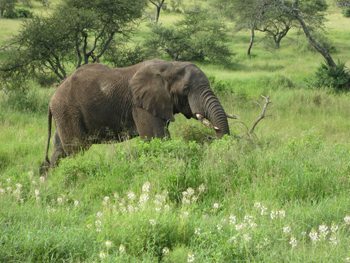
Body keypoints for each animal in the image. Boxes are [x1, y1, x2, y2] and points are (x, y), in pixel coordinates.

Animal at [40, 59, 230, 175]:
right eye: (185, 89)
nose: (211, 137)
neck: (170, 65)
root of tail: (52, 98)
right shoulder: (140, 104)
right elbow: (156, 138)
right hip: (68, 110)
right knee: (75, 149)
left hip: (64, 113)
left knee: (59, 150)